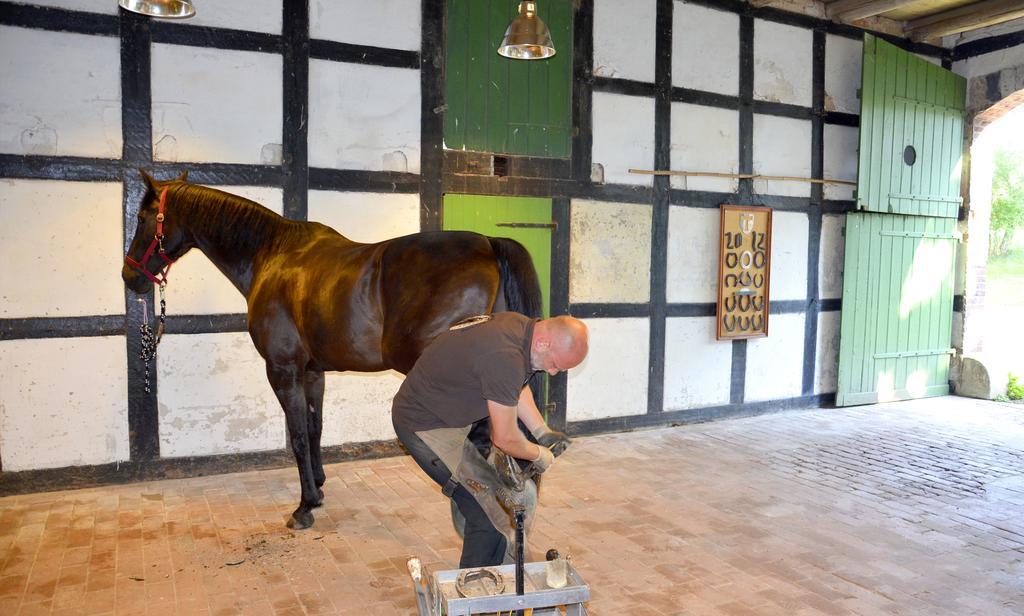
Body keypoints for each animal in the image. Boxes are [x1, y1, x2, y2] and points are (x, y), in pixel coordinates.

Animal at [121, 171, 544, 528]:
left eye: (142, 218)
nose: (129, 276)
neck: (271, 255)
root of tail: (489, 243)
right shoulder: (313, 371)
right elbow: (314, 427)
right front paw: (319, 485)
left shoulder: (283, 369)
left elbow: (296, 433)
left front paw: (305, 506)